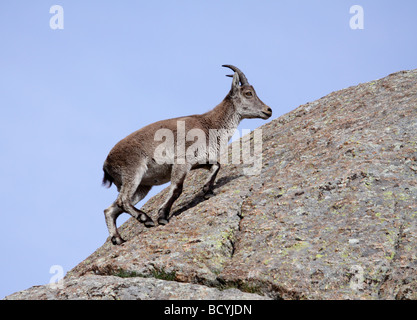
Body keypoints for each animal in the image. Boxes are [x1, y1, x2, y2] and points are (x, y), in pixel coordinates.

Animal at [102, 65, 272, 245]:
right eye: (248, 93)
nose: (268, 110)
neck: (209, 126)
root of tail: (106, 164)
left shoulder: (198, 161)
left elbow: (217, 165)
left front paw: (207, 190)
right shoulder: (181, 161)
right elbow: (177, 188)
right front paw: (162, 215)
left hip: (143, 186)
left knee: (110, 209)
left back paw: (118, 238)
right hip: (133, 171)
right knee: (122, 201)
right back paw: (145, 218)